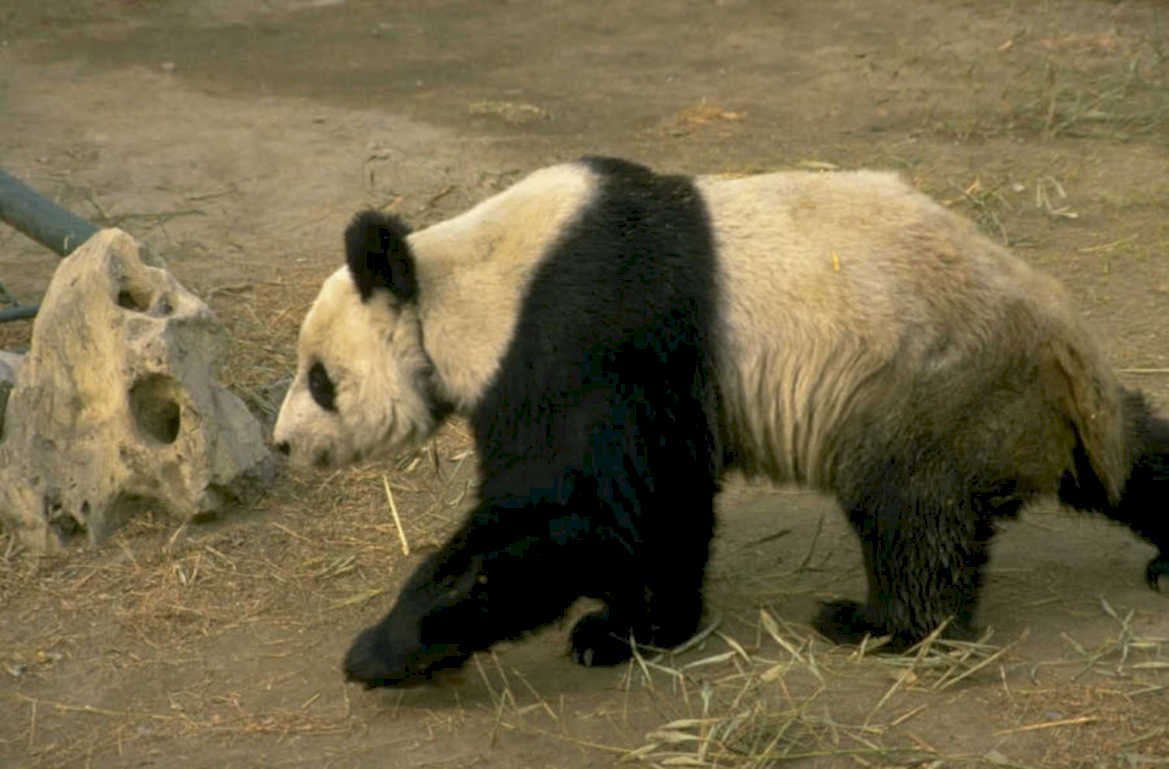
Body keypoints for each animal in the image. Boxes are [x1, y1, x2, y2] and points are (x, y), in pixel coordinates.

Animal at [273, 156, 1169, 688]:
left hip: (925, 389)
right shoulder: (654, 384)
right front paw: (633, 627)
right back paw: (1163, 554)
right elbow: (656, 503)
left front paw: (382, 648)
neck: (465, 280)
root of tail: (1063, 352)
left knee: (910, 512)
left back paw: (878, 623)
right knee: (1140, 459)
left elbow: (572, 507)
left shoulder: (578, 328)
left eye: (319, 378)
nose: (283, 443)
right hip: (1026, 409)